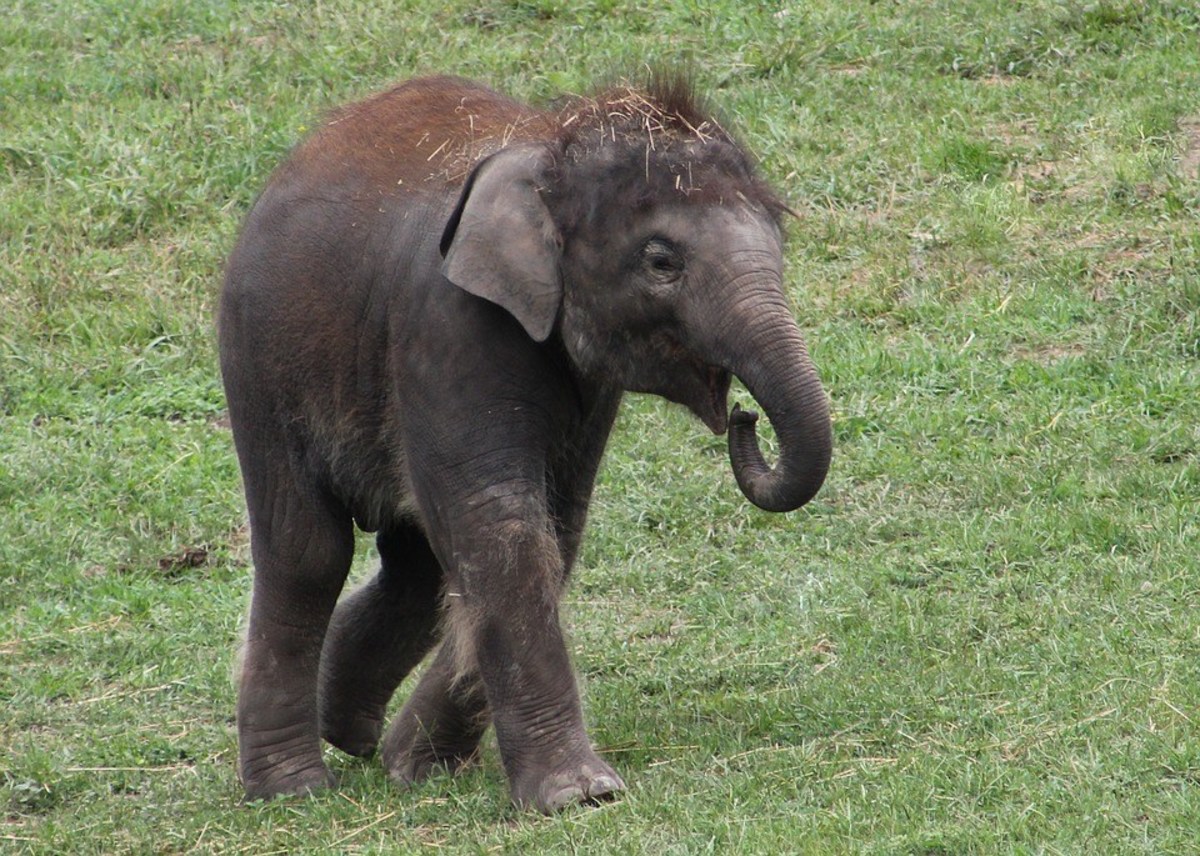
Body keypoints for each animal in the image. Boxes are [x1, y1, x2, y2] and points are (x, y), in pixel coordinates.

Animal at [220, 71, 830, 806]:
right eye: (661, 260)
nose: (744, 418)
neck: (550, 154)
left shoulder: (586, 387)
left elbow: (554, 526)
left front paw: (419, 767)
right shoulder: (446, 323)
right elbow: (502, 522)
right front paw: (582, 796)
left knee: (414, 565)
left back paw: (351, 732)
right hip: (259, 360)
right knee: (307, 550)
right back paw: (295, 788)